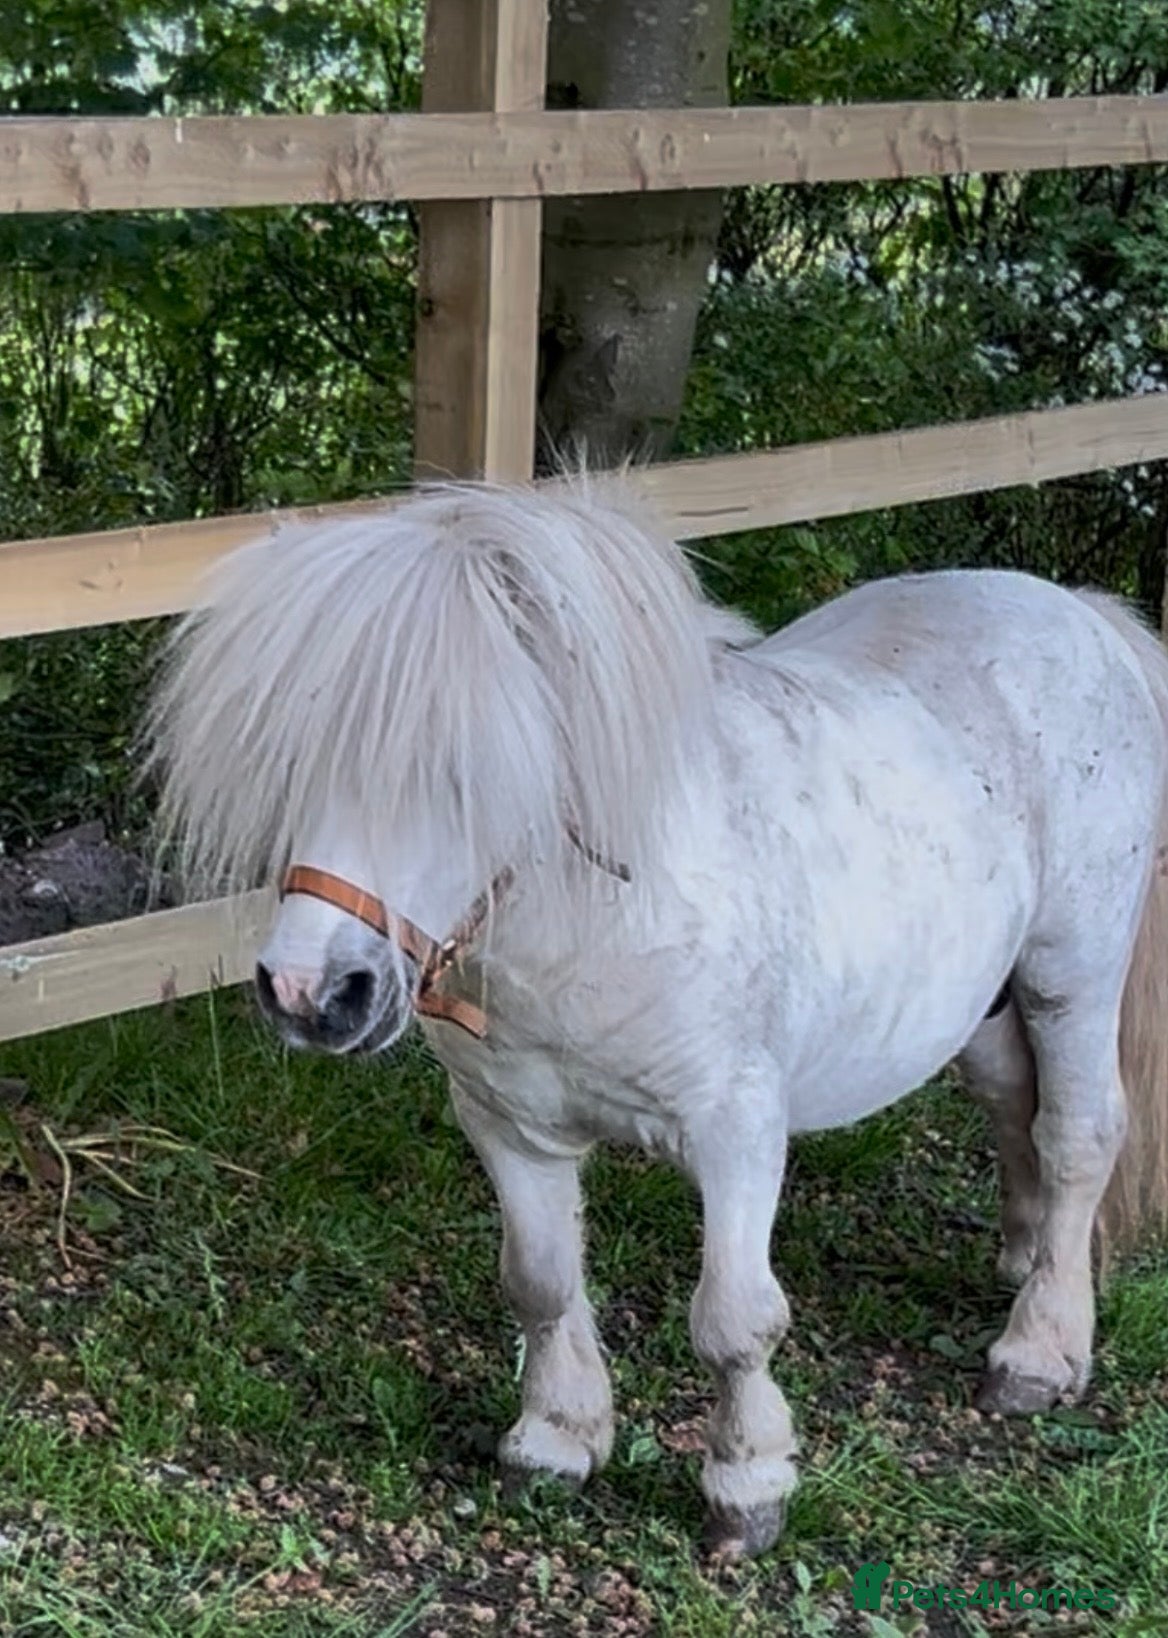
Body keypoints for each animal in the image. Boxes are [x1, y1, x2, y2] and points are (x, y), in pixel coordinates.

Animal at [145, 478, 1168, 1559]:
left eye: (467, 771)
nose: (310, 992)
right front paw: (554, 1441)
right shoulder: (510, 1129)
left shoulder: (737, 1133)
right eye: (293, 764)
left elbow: (734, 1320)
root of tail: (1078, 611)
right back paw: (1026, 1260)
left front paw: (746, 1486)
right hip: (978, 998)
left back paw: (1038, 1349)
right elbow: (541, 1282)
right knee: (1012, 1102)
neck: (596, 923)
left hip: (1072, 973)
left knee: (1078, 1133)